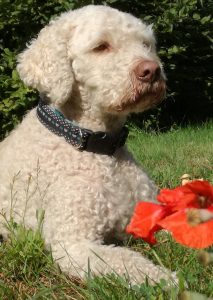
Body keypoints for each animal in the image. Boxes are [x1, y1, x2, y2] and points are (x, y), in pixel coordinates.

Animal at [0, 5, 176, 286]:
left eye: (146, 44)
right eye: (101, 46)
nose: (151, 70)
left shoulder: (151, 215)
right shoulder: (74, 244)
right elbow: (127, 260)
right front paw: (164, 279)